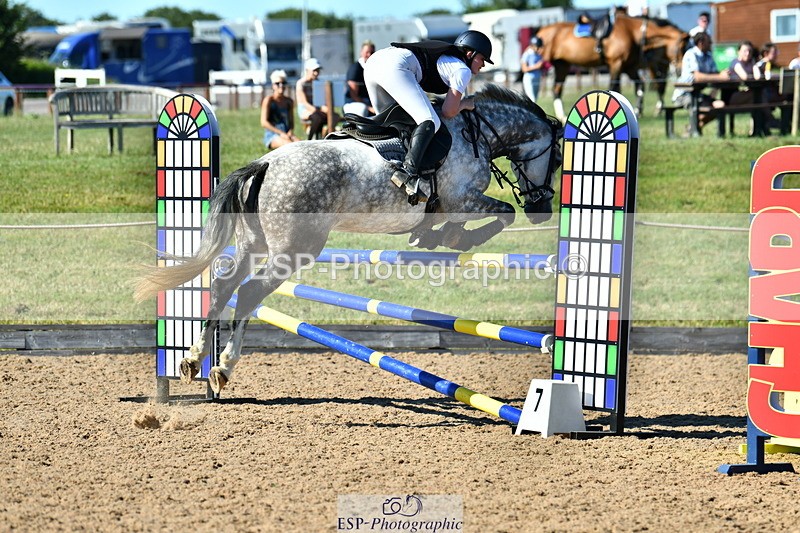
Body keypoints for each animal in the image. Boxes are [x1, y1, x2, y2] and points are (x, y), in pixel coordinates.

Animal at [134, 83, 563, 394]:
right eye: (558, 160)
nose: (542, 210)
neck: (476, 134)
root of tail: (266, 162)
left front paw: (433, 236)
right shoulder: (463, 199)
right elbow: (500, 215)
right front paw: (459, 238)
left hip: (254, 243)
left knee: (226, 285)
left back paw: (193, 360)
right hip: (295, 250)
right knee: (251, 291)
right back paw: (223, 366)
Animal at [537, 12, 689, 121]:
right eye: (681, 48)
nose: (680, 70)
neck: (632, 33)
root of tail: (541, 31)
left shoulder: (630, 67)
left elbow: (639, 87)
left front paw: (637, 111)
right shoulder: (617, 63)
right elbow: (613, 87)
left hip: (562, 65)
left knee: (557, 90)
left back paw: (561, 116)